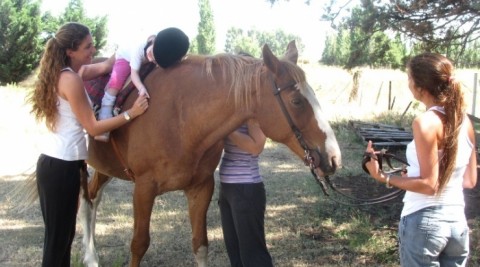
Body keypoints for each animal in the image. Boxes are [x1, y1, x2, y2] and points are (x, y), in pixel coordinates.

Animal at [79, 40, 342, 266]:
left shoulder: (201, 188)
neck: (180, 117)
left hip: (105, 168)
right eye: (296, 101)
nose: (334, 157)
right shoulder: (144, 189)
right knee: (86, 201)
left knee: (93, 197)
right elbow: (139, 244)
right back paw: (90, 256)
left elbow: (200, 245)